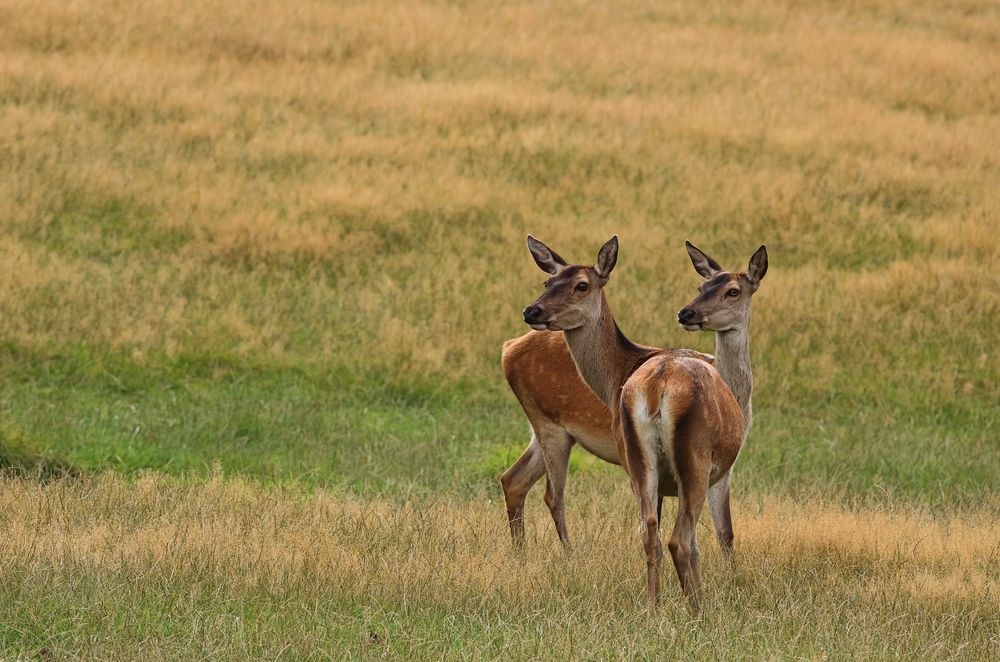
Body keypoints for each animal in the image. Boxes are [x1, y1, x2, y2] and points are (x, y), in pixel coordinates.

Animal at [524, 235, 752, 616]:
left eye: (581, 285)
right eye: (547, 282)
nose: (532, 311)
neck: (617, 376)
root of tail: (658, 385)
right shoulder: (721, 470)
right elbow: (721, 534)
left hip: (637, 457)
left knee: (648, 531)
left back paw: (654, 609)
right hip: (694, 459)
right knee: (680, 539)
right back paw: (696, 612)